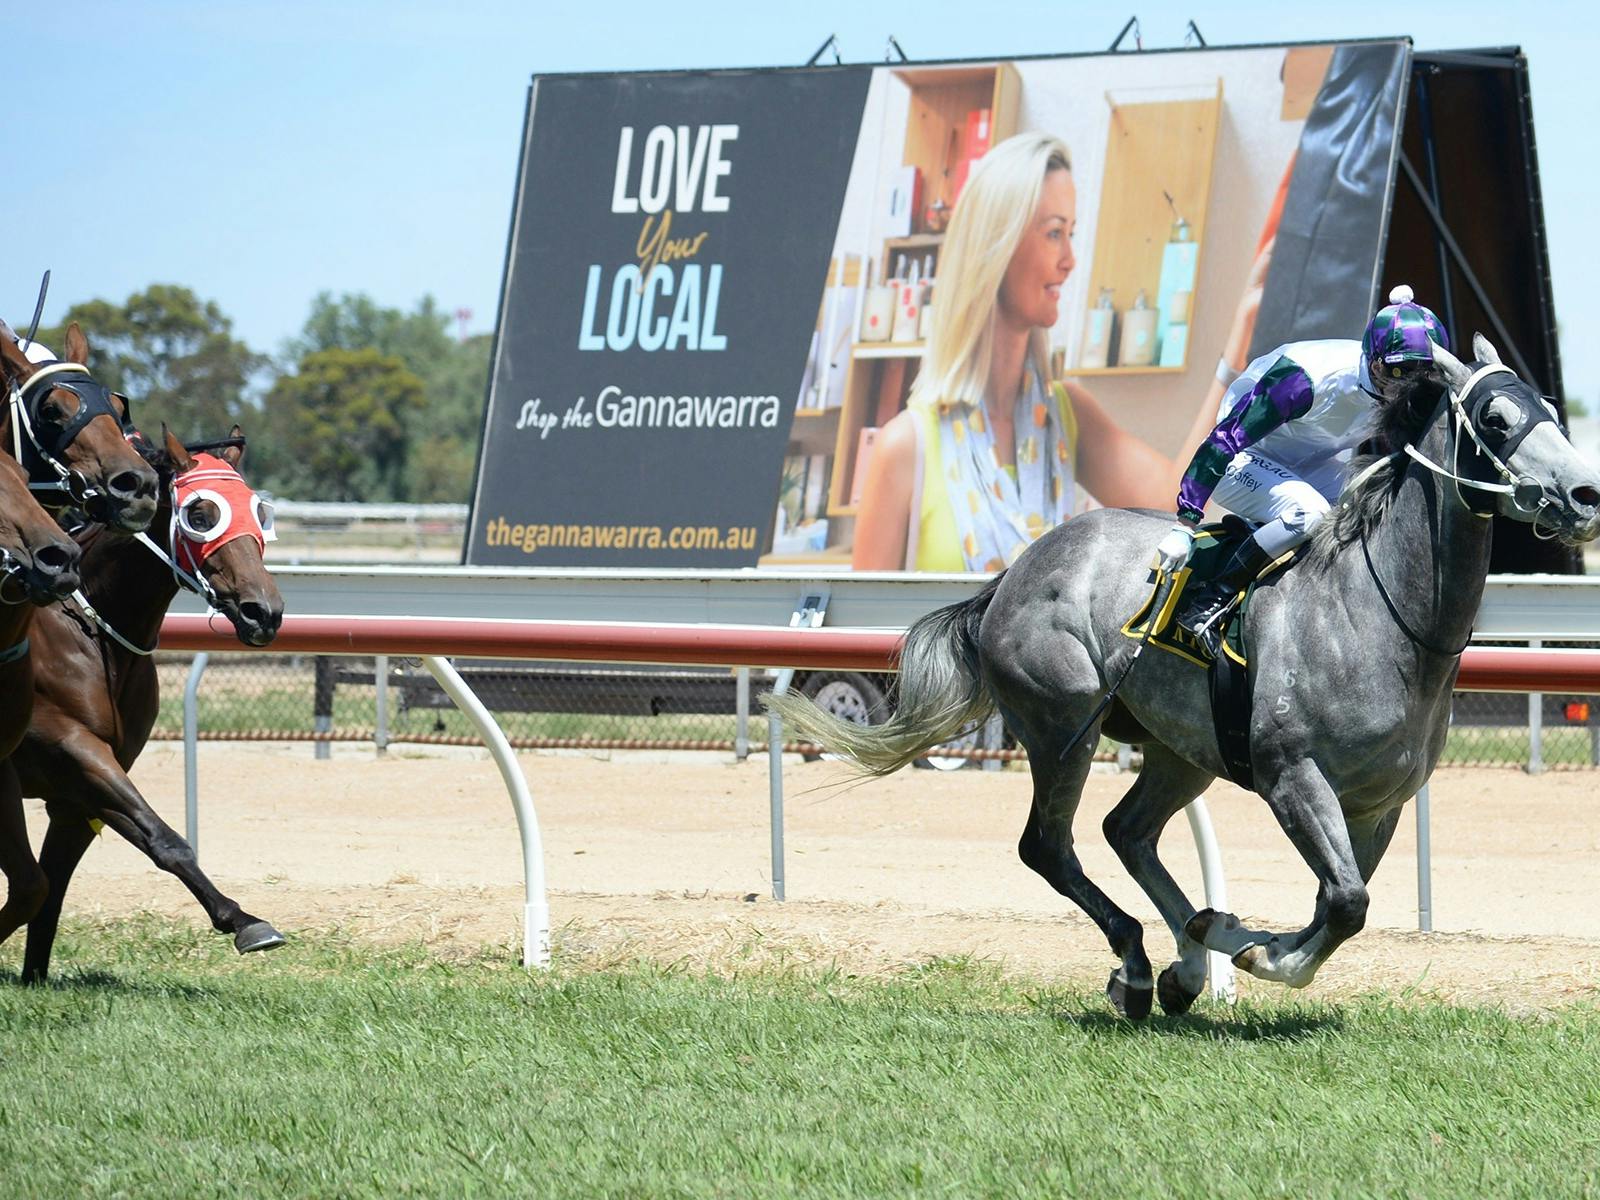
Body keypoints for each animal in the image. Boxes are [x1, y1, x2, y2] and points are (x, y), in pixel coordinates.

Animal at [3, 427, 286, 982]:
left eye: (259, 512)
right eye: (201, 514)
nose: (263, 611)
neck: (95, 637)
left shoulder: (77, 796)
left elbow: (53, 887)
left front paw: (33, 978)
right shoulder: (75, 750)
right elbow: (167, 839)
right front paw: (244, 920)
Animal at [768, 335, 1600, 1018]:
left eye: (1551, 408)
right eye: (1496, 417)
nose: (1586, 495)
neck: (1378, 612)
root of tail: (1010, 575)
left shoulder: (1378, 804)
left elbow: (1340, 904)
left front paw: (1235, 938)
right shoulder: (1291, 774)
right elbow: (1343, 902)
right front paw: (1252, 947)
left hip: (1179, 749)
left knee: (1126, 831)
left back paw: (1184, 963)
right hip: (1063, 725)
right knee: (1049, 846)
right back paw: (1141, 965)